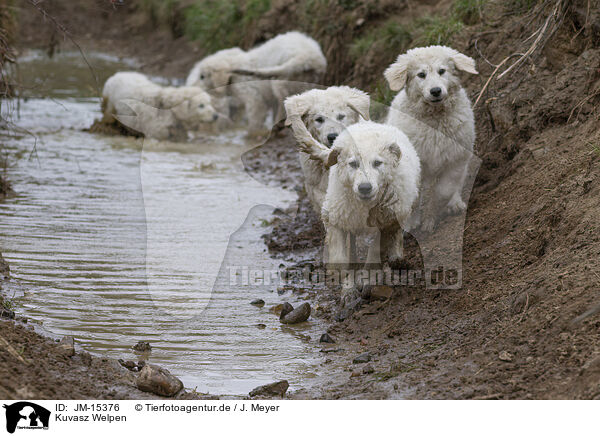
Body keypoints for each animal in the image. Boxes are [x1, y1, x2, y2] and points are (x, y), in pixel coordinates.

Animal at [188, 31, 328, 134]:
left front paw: (250, 135)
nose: (192, 87)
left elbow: (254, 119)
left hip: (280, 80)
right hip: (307, 81)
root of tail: (308, 56)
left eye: (202, 76)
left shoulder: (254, 99)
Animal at [290, 116, 422, 306]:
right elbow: (340, 258)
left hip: (400, 209)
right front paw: (344, 282)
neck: (364, 205)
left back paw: (396, 257)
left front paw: (366, 279)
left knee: (396, 232)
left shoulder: (384, 223)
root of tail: (370, 123)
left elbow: (374, 251)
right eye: (352, 164)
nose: (365, 188)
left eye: (377, 163)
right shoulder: (336, 218)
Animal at [384, 45, 478, 232]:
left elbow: (444, 190)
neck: (435, 117)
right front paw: (412, 223)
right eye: (421, 74)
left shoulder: (456, 158)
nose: (435, 91)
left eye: (442, 71)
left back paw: (455, 204)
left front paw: (430, 218)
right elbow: (414, 196)